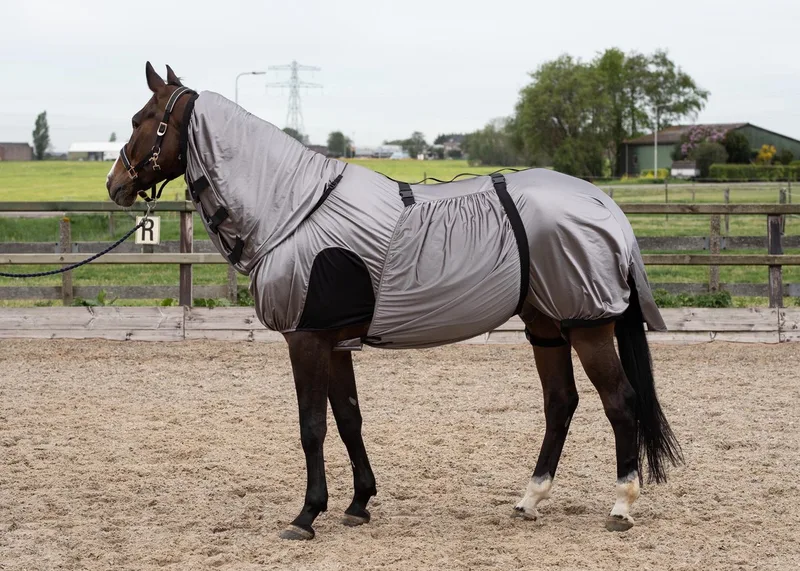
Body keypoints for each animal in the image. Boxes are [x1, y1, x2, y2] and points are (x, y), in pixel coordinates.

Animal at [106, 62, 683, 541]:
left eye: (142, 119)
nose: (114, 185)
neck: (294, 209)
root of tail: (602, 203)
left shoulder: (306, 338)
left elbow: (312, 425)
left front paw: (307, 514)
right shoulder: (335, 341)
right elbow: (348, 418)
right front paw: (358, 502)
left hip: (588, 325)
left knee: (620, 403)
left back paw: (621, 506)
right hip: (546, 325)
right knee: (560, 402)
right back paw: (530, 499)